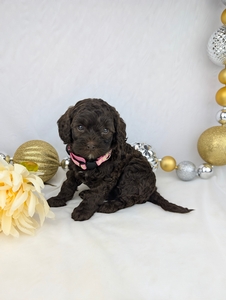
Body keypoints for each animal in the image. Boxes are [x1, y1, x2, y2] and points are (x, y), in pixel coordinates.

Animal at [48, 98, 192, 220]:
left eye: (105, 130)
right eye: (80, 127)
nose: (91, 145)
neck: (91, 162)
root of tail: (152, 189)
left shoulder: (108, 177)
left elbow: (96, 194)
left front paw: (83, 211)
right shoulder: (73, 170)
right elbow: (67, 185)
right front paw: (58, 199)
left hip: (132, 170)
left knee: (128, 199)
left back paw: (108, 205)